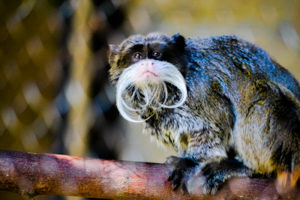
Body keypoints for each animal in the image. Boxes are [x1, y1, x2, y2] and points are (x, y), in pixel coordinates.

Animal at [108, 32, 300, 194]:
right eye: (137, 56)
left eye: (157, 54)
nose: (148, 64)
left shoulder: (202, 89)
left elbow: (219, 121)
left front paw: (189, 161)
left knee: (261, 96)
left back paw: (250, 168)